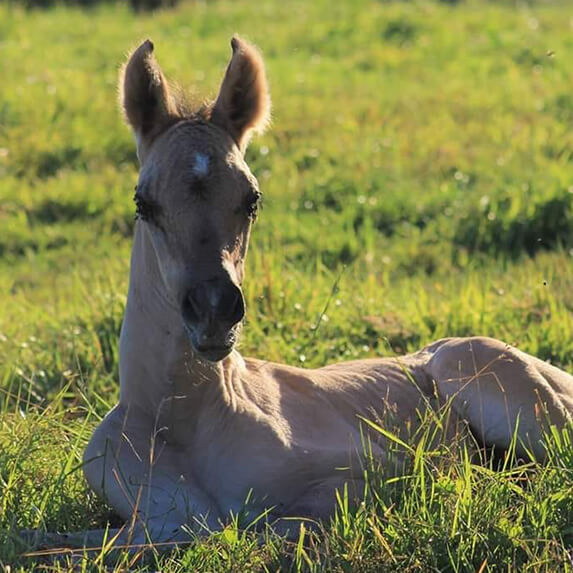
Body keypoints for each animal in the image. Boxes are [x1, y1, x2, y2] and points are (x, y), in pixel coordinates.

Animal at [23, 35, 572, 556]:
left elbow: (260, 529)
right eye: (144, 203)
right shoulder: (147, 515)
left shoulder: (372, 477)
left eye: (252, 200)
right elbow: (55, 541)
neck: (184, 425)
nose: (214, 313)